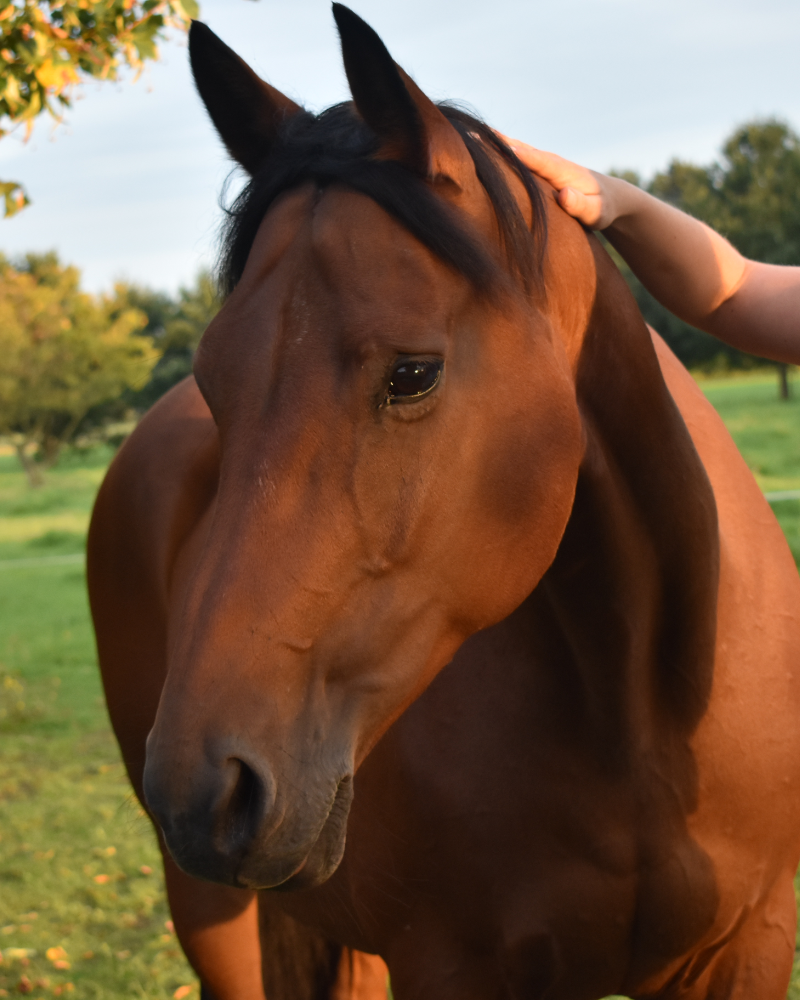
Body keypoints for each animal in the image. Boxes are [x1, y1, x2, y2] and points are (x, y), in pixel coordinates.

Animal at [87, 7, 800, 999]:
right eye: (214, 381)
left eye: (413, 373)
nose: (206, 789)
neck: (645, 720)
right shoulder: (451, 963)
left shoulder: (748, 947)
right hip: (210, 915)